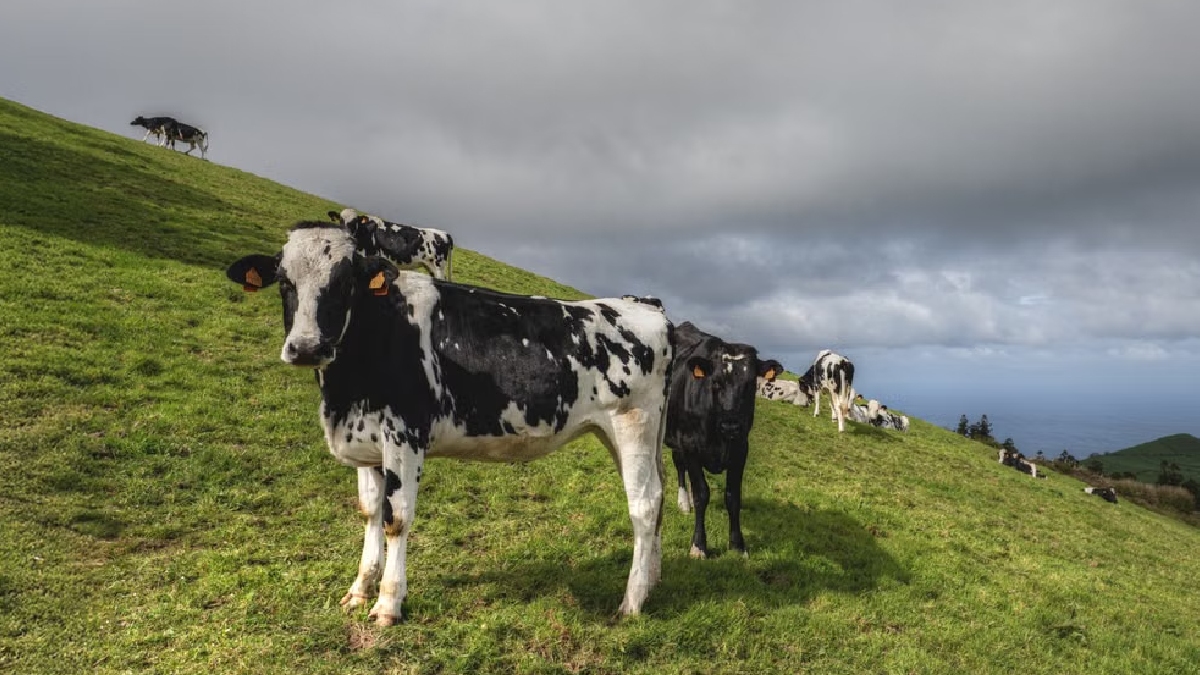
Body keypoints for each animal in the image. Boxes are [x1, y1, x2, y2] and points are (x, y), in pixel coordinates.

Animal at [224, 221, 674, 624]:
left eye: (345, 281)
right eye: (284, 281)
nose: (306, 348)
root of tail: (643, 303)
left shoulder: (404, 435)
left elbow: (395, 518)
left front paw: (388, 603)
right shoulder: (366, 441)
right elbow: (370, 512)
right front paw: (360, 588)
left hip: (633, 422)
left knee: (644, 504)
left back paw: (632, 602)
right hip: (620, 432)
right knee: (660, 494)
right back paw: (653, 582)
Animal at [665, 321, 758, 559]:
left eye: (750, 384)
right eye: (715, 382)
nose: (731, 425)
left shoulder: (741, 449)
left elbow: (733, 497)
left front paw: (737, 544)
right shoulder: (689, 444)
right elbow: (701, 494)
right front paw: (699, 545)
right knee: (678, 465)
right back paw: (683, 502)